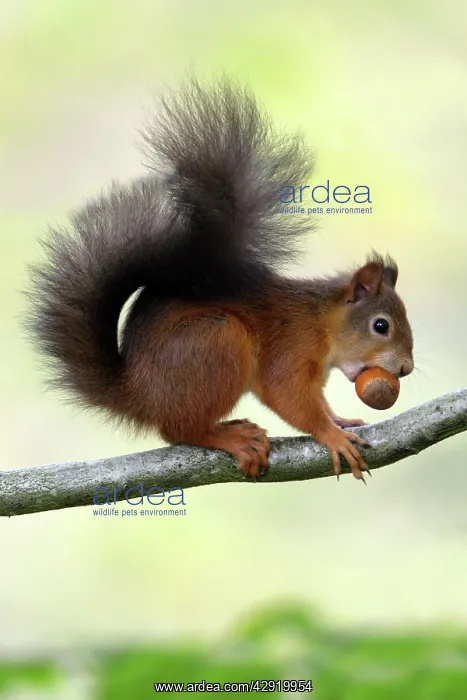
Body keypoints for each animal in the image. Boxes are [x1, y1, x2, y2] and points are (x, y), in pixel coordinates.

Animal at [25, 78, 414, 482]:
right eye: (381, 325)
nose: (406, 368)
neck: (322, 322)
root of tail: (138, 394)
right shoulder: (291, 347)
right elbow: (288, 397)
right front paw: (332, 435)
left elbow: (318, 402)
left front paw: (340, 420)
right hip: (216, 341)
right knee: (178, 430)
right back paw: (231, 438)